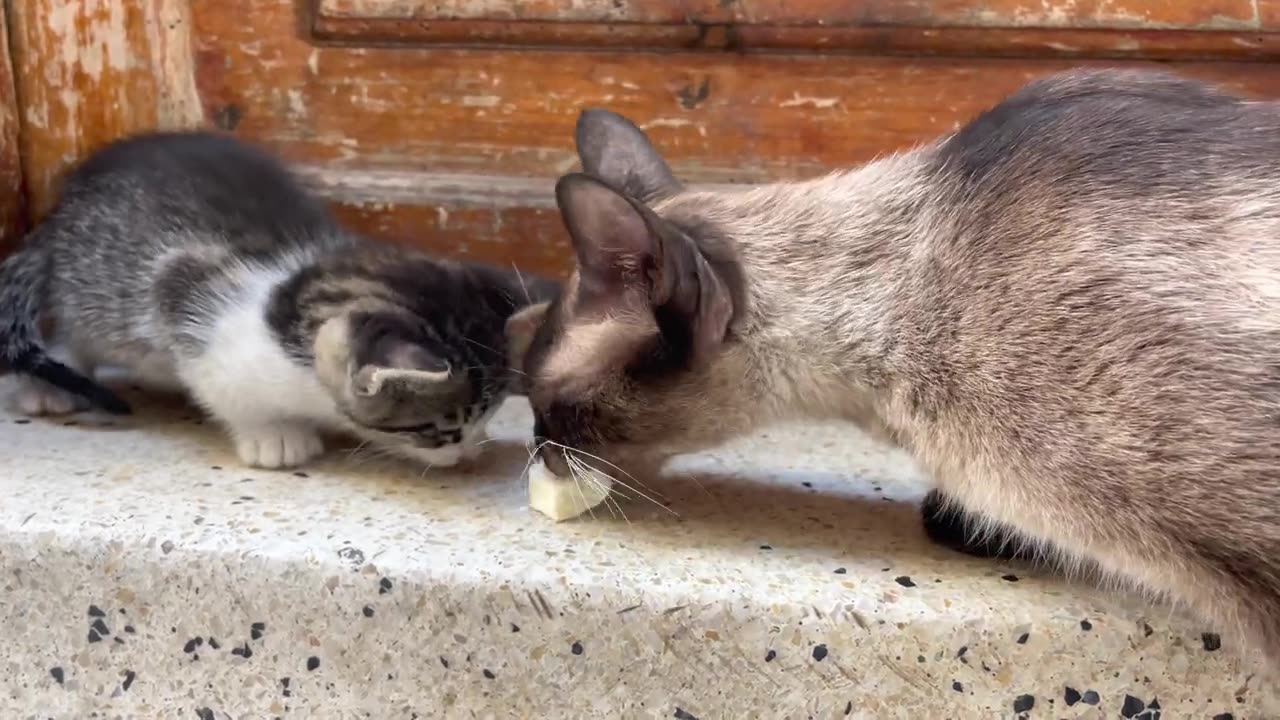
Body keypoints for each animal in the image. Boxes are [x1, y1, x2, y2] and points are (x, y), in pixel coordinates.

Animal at [2, 129, 558, 468]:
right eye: (441, 429)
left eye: (489, 414)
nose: (468, 451)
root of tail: (65, 203)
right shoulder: (184, 296)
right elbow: (224, 388)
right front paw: (275, 436)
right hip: (95, 284)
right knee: (76, 328)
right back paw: (48, 385)